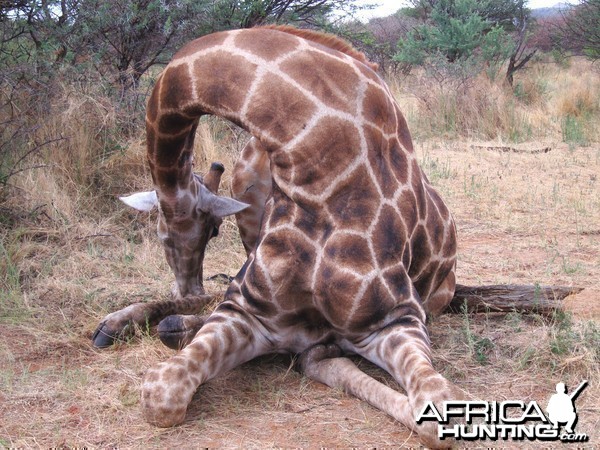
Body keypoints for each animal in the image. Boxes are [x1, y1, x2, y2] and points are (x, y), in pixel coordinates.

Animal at [108, 27, 466, 446]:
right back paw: (125, 324)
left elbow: (438, 414)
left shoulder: (397, 319)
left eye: (213, 230)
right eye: (162, 234)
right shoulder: (248, 313)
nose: (184, 286)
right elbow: (161, 394)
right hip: (245, 181)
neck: (318, 169)